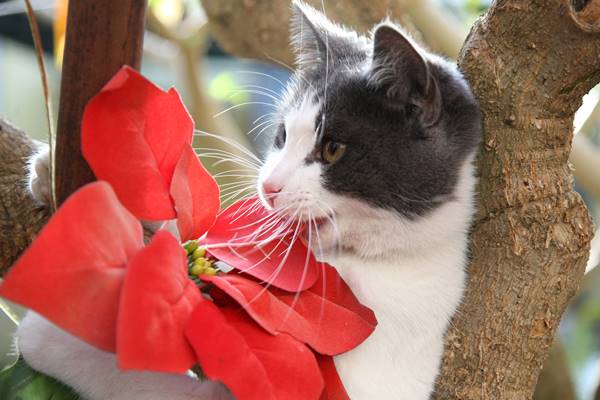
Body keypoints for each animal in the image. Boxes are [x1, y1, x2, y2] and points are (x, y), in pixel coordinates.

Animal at [16, 1, 480, 398]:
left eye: (332, 149)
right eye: (282, 137)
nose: (268, 187)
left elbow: (152, 384)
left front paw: (49, 336)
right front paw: (54, 171)